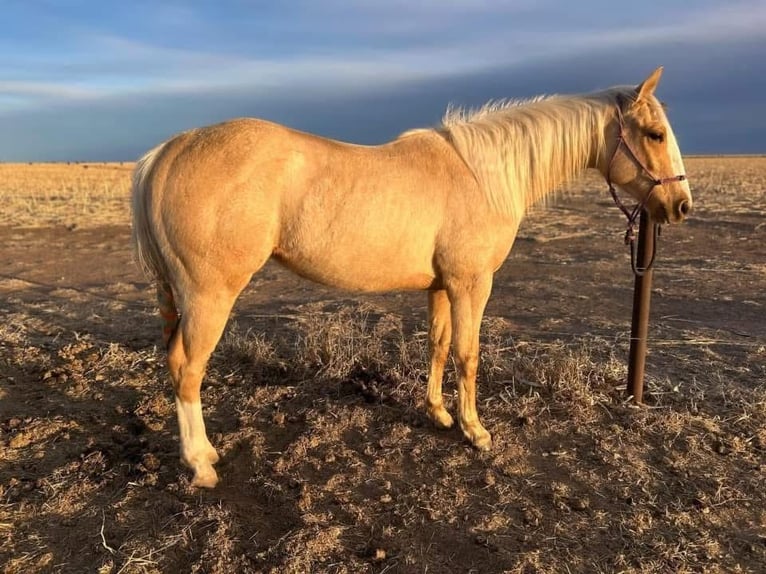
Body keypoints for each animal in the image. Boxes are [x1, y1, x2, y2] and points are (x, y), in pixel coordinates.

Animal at [134, 68, 696, 490]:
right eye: (655, 134)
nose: (681, 206)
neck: (482, 175)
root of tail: (167, 151)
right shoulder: (472, 284)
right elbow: (468, 354)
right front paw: (475, 431)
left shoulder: (442, 287)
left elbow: (439, 346)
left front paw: (439, 414)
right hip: (209, 297)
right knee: (187, 370)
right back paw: (202, 463)